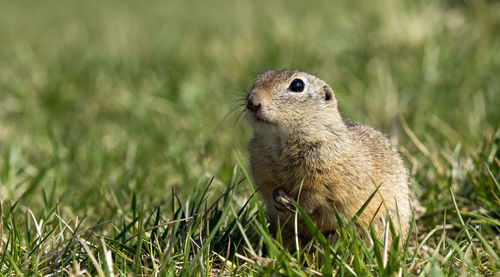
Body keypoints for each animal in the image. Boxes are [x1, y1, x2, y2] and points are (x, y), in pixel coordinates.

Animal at [244, 69, 412, 244]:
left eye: (297, 85)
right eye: (257, 79)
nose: (252, 102)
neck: (281, 143)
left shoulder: (326, 175)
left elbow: (315, 196)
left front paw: (296, 206)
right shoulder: (262, 170)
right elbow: (268, 187)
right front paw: (279, 198)